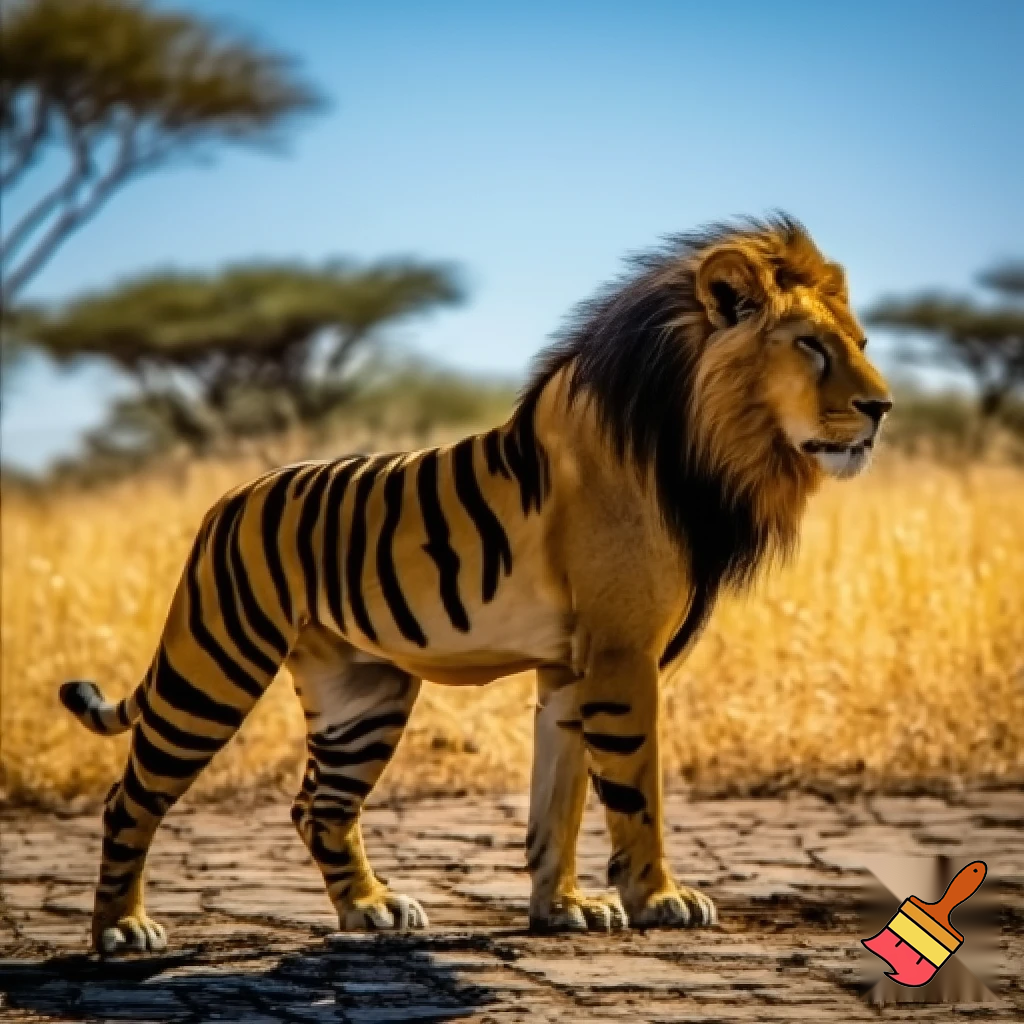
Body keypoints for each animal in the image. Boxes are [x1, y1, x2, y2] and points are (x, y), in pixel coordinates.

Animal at [60, 214, 891, 953]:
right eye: (810, 345)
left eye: (859, 344)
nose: (882, 407)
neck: (703, 449)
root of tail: (230, 498)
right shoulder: (622, 654)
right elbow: (635, 787)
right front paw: (658, 898)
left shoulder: (571, 666)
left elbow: (561, 799)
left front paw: (563, 909)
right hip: (213, 664)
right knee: (129, 800)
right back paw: (121, 930)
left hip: (363, 693)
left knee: (318, 808)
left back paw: (370, 911)